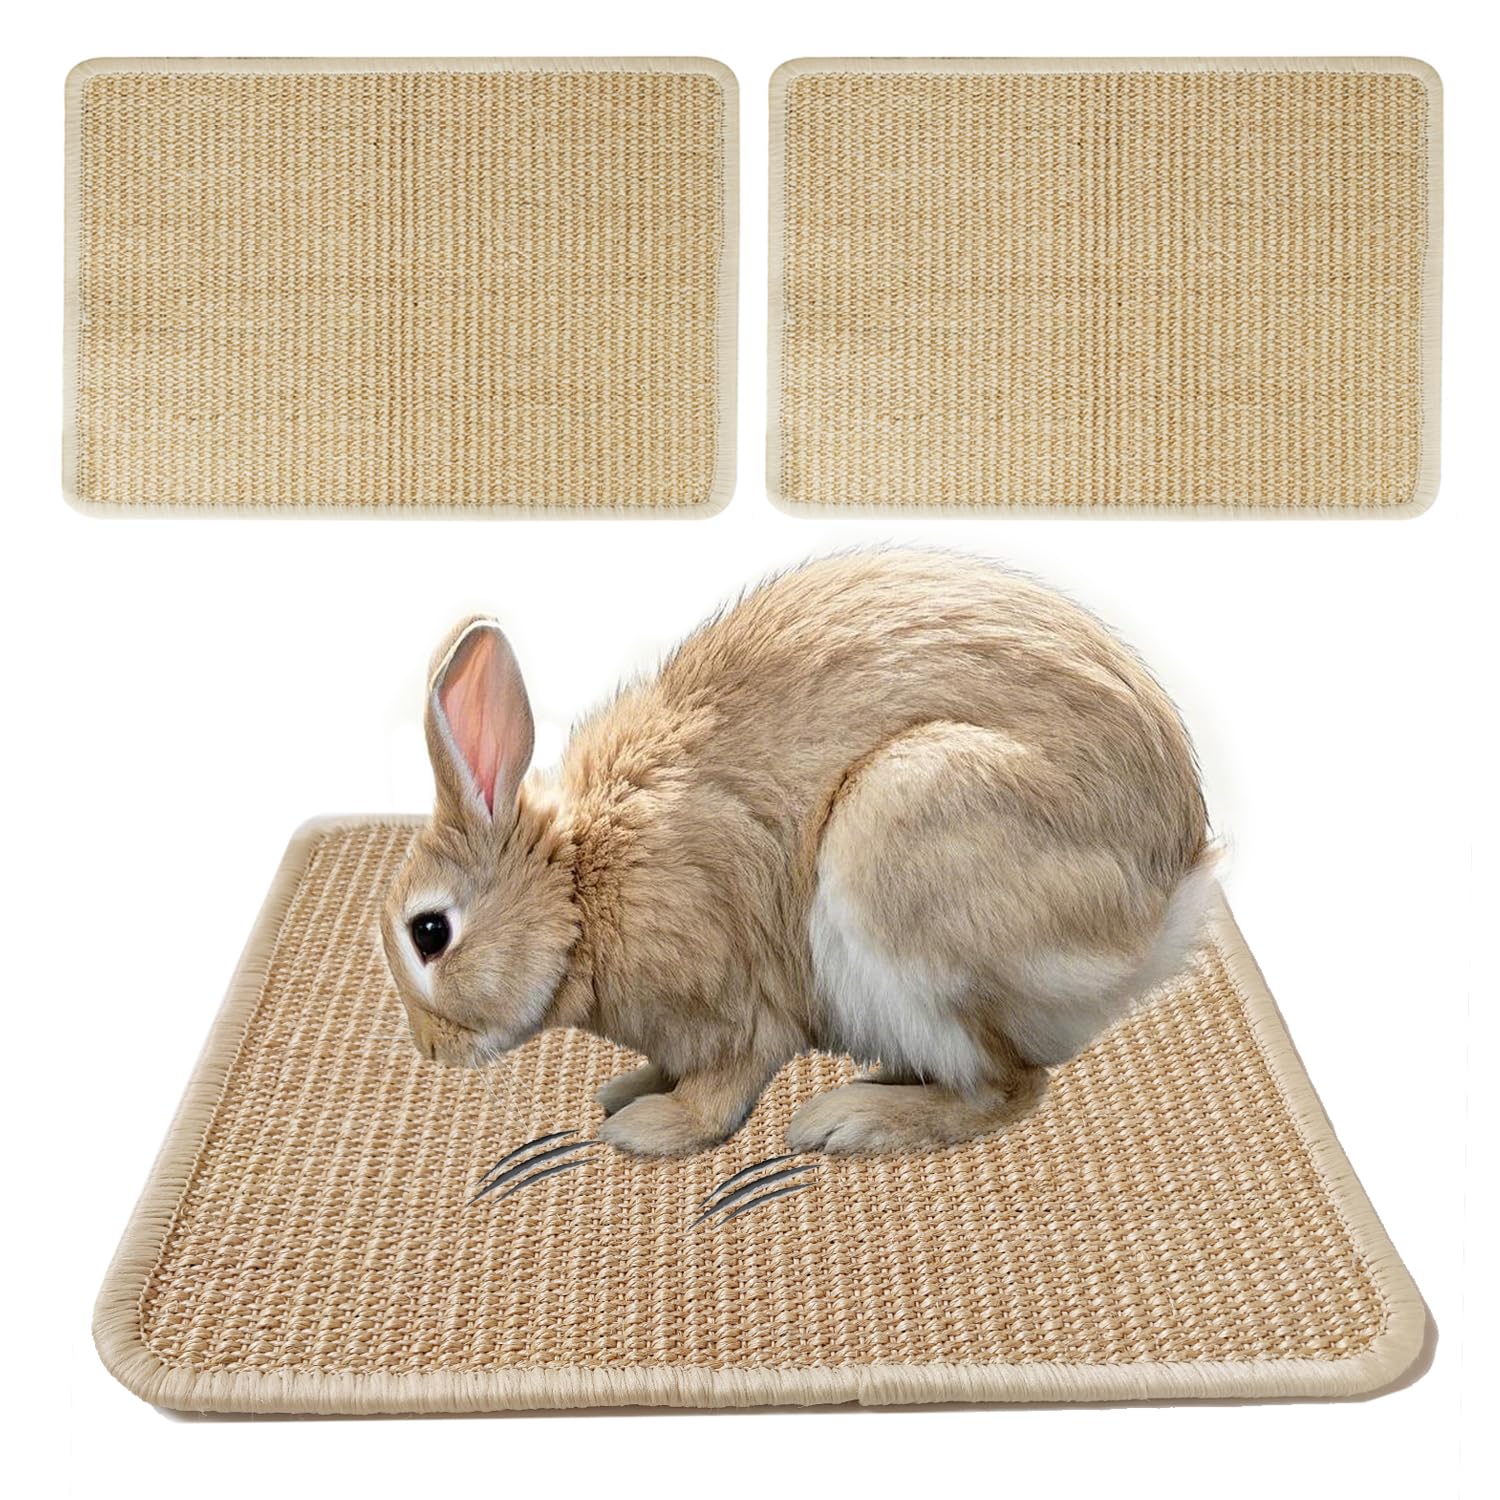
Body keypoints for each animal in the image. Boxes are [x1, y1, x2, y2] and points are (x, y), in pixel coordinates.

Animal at [380, 549, 1214, 1156]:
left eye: (430, 933)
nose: (429, 1049)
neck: (581, 885)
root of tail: (1161, 904)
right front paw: (627, 1089)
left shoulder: (735, 1001)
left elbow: (723, 1085)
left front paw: (644, 1128)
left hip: (902, 846)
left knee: (1011, 1086)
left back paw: (847, 1119)